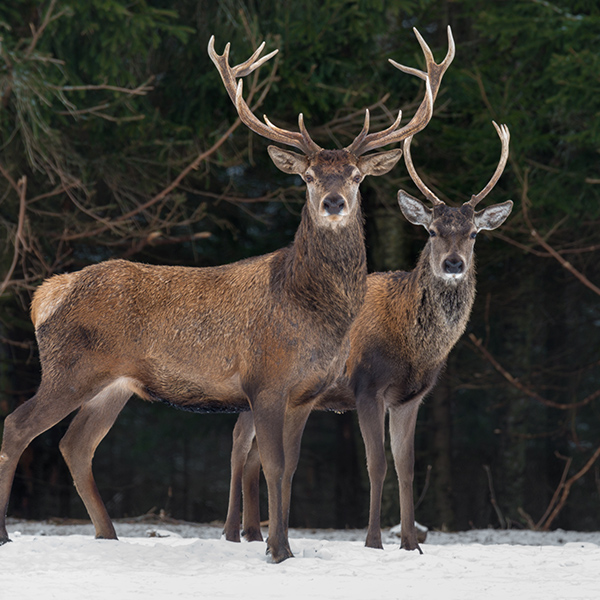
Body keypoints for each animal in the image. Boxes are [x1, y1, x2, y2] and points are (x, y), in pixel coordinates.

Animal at [0, 29, 450, 564]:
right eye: (308, 176)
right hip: (70, 367)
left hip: (113, 384)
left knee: (75, 445)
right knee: (16, 426)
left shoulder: (305, 393)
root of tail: (48, 294)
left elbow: (289, 468)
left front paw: (283, 546)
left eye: (357, 176)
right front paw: (276, 550)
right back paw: (8, 533)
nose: (333, 202)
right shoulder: (266, 380)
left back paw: (108, 536)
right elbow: (271, 464)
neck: (309, 307)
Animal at [223, 120, 512, 552]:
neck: (414, 349)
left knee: (256, 454)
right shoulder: (366, 385)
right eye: (431, 231)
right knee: (239, 445)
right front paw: (374, 541)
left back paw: (255, 533)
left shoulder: (411, 398)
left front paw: (411, 543)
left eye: (475, 234)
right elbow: (377, 464)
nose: (453, 263)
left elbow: (407, 467)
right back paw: (231, 532)